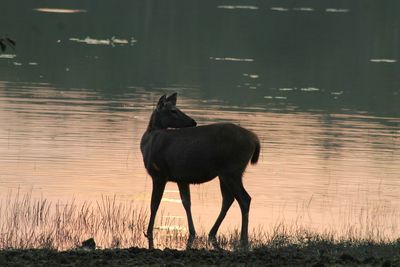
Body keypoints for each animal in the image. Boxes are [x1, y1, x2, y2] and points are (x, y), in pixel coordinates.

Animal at [140, 93, 260, 250]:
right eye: (173, 110)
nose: (193, 121)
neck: (148, 144)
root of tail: (255, 140)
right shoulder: (181, 178)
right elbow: (186, 202)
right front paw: (192, 232)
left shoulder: (159, 173)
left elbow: (154, 204)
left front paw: (148, 231)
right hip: (225, 174)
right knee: (228, 199)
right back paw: (212, 232)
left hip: (232, 170)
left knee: (244, 199)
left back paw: (243, 238)